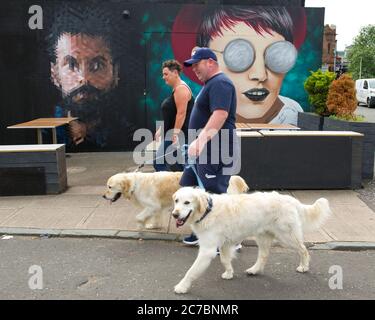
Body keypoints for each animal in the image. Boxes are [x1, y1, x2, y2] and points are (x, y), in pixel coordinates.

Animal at [103, 172, 250, 230]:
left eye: (110, 187)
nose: (104, 196)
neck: (134, 184)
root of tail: (232, 178)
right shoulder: (157, 207)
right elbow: (156, 217)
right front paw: (154, 225)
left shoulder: (152, 205)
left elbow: (138, 217)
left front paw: (140, 226)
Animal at [171, 188, 332, 296]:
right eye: (176, 201)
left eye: (187, 202)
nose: (174, 214)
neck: (207, 211)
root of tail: (290, 199)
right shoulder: (224, 244)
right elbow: (224, 260)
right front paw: (229, 273)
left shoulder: (207, 250)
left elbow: (191, 271)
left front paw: (182, 286)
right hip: (263, 236)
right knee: (264, 255)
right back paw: (254, 270)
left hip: (287, 236)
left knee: (303, 249)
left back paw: (304, 267)